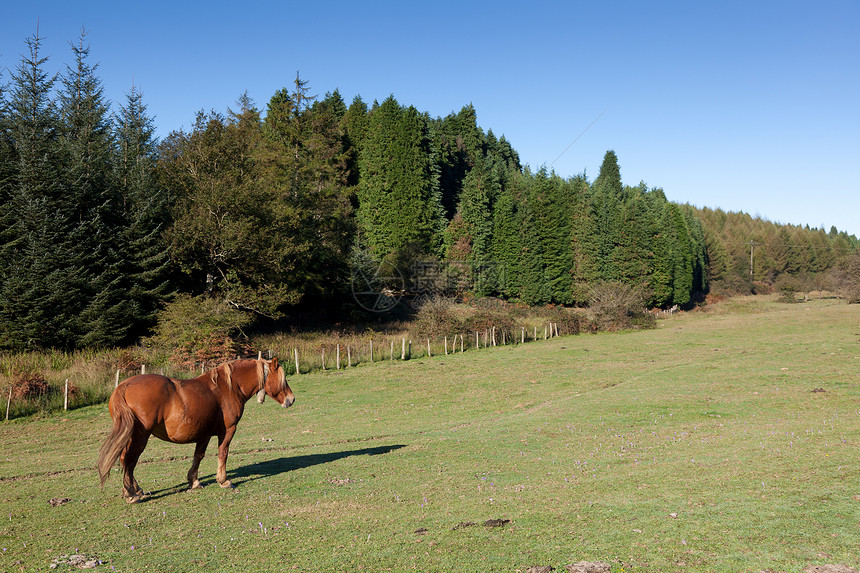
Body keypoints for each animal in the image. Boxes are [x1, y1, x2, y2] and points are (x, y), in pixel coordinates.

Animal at [98, 358, 296, 500]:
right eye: (282, 379)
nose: (291, 399)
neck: (227, 388)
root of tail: (123, 386)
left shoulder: (204, 434)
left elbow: (198, 456)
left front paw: (193, 481)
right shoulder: (228, 431)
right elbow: (223, 453)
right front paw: (224, 481)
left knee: (125, 459)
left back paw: (133, 490)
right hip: (140, 436)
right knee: (130, 460)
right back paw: (132, 493)